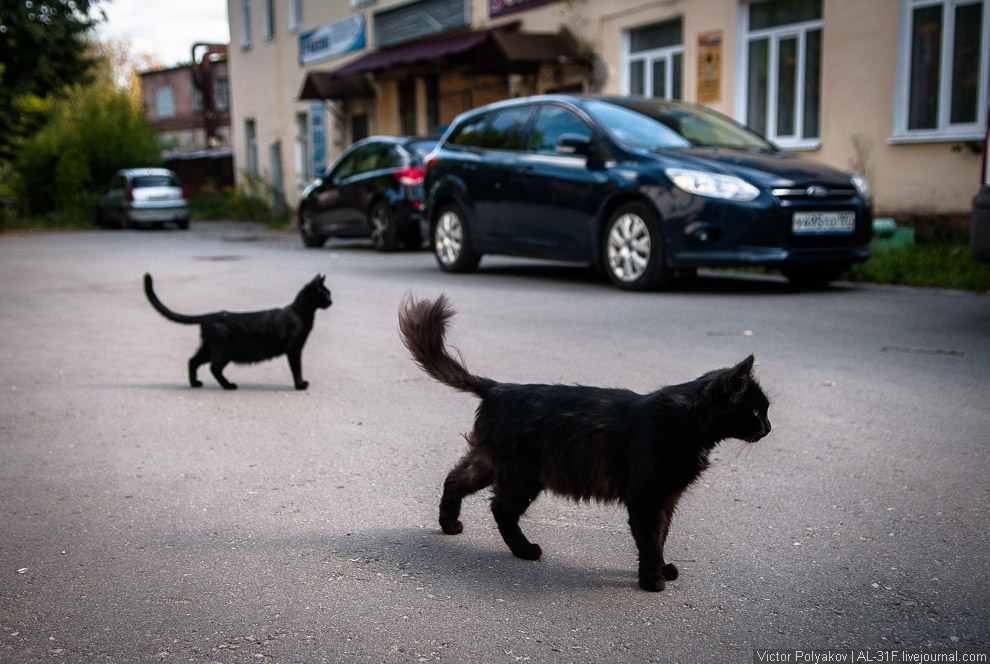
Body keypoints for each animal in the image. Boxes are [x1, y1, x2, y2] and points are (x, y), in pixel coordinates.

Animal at [145, 274, 334, 392]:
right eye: (326, 294)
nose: (332, 301)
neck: (300, 313)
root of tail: (209, 316)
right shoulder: (295, 349)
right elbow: (297, 368)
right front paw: (300, 385)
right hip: (225, 350)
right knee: (214, 368)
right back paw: (228, 386)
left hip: (208, 348)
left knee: (192, 361)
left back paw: (195, 383)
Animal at [400, 296, 772, 592]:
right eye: (755, 410)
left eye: (765, 410)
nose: (768, 428)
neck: (686, 423)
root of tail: (497, 387)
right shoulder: (646, 495)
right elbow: (650, 538)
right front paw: (652, 579)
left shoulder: (667, 496)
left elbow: (662, 534)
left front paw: (662, 569)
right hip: (524, 475)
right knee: (500, 508)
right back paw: (525, 550)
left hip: (493, 462)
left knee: (455, 479)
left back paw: (450, 525)